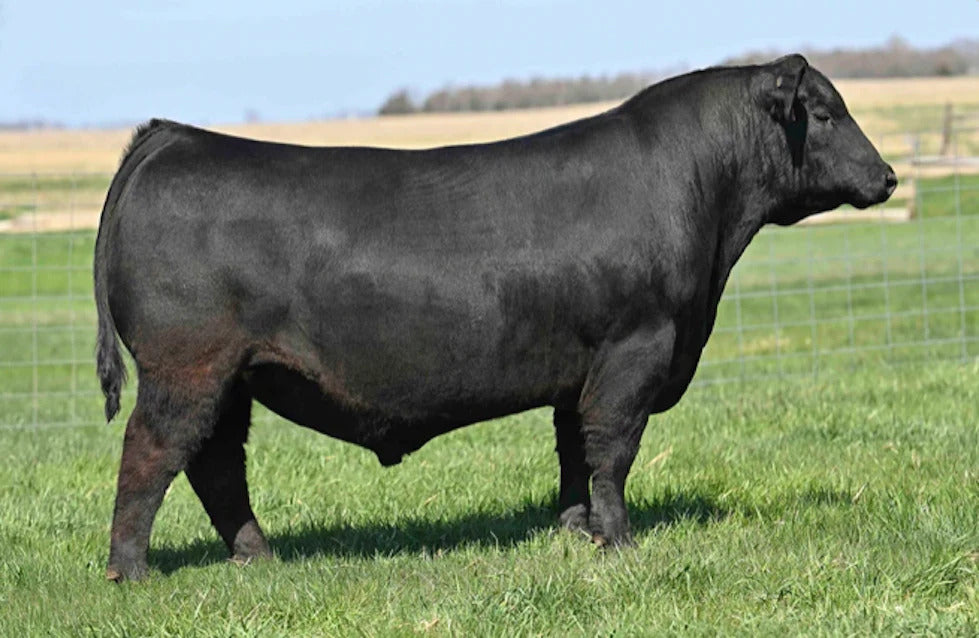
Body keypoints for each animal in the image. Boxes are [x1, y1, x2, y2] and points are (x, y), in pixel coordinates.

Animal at [95, 55, 895, 581]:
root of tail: (174, 136)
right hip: (186, 368)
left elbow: (573, 451)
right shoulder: (635, 349)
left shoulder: (581, 368)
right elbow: (613, 452)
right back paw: (132, 573)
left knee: (216, 465)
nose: (886, 176)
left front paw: (574, 533)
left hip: (232, 378)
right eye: (826, 114)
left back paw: (259, 558)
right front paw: (621, 544)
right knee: (151, 454)